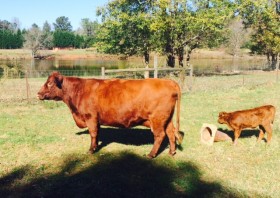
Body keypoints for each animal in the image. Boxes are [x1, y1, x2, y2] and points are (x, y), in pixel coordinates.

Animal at [37, 71, 183, 158]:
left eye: (50, 83)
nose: (38, 94)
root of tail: (168, 81)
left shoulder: (90, 117)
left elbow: (93, 133)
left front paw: (91, 150)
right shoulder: (96, 119)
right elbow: (97, 133)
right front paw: (95, 146)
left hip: (157, 119)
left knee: (160, 135)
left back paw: (151, 154)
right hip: (166, 119)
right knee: (171, 133)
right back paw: (171, 152)